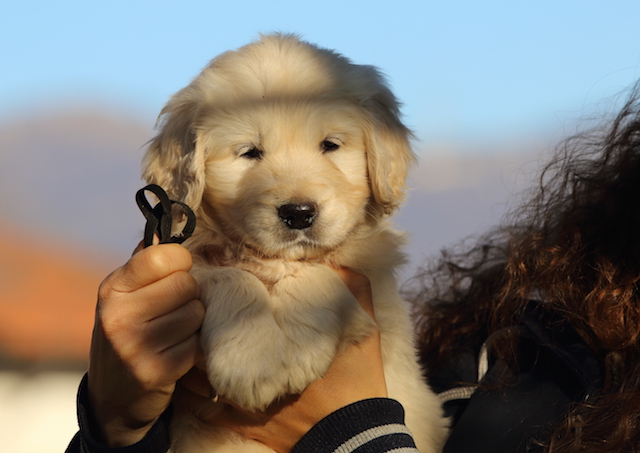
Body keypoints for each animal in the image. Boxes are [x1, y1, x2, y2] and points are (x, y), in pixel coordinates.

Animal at [142, 33, 448, 452]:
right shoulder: (184, 252)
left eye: (330, 145)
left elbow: (315, 272)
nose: (299, 213)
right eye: (250, 152)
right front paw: (252, 363)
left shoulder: (371, 272)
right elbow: (228, 276)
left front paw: (294, 351)